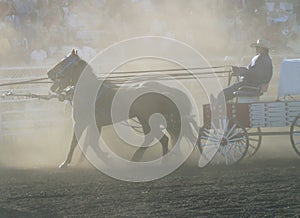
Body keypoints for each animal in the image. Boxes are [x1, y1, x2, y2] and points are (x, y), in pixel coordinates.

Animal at [47, 49, 199, 169]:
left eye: (63, 62)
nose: (49, 73)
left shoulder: (82, 122)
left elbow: (77, 143)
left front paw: (65, 163)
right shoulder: (93, 124)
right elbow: (89, 143)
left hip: (146, 119)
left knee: (159, 138)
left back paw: (145, 159)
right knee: (164, 138)